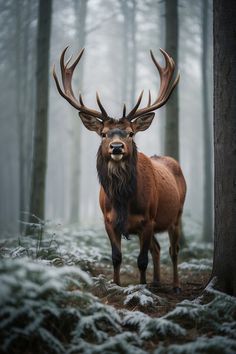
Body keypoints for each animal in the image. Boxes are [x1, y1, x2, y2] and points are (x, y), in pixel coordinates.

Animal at [53, 47, 186, 292]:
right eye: (104, 133)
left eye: (131, 133)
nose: (116, 147)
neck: (124, 199)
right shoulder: (108, 221)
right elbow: (116, 257)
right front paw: (116, 285)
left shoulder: (148, 219)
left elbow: (141, 260)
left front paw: (141, 288)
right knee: (157, 248)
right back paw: (156, 281)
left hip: (176, 214)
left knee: (173, 250)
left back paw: (174, 285)